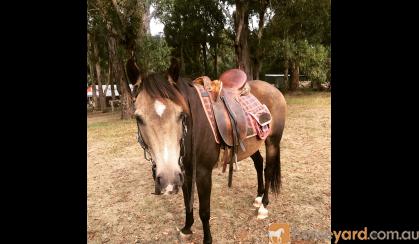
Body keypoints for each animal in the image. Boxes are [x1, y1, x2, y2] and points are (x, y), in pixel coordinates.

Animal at [135, 63, 288, 243]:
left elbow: (204, 211)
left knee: (268, 170)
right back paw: (258, 197)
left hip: (272, 141)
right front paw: (187, 228)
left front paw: (207, 239)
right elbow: (187, 203)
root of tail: (273, 88)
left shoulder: (203, 173)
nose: (167, 179)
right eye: (138, 118)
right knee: (259, 163)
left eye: (181, 115)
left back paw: (263, 205)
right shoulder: (185, 171)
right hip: (252, 145)